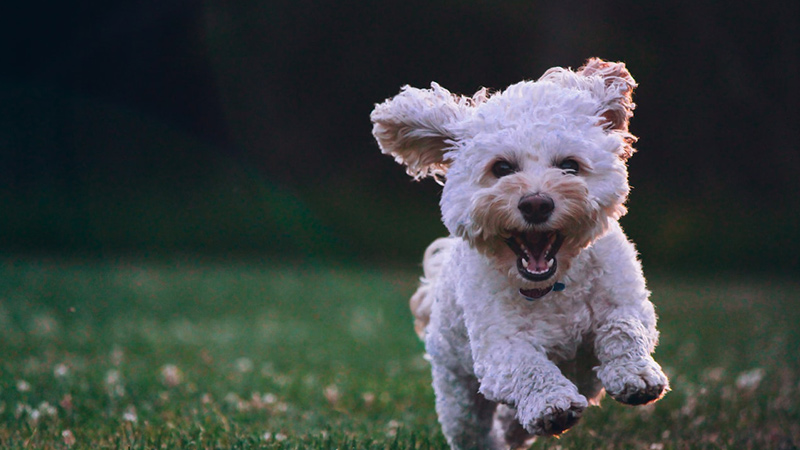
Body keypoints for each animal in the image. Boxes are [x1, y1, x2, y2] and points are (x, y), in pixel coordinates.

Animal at [374, 58, 668, 448]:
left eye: (570, 165)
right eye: (501, 168)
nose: (536, 204)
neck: (553, 286)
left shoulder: (626, 301)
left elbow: (624, 328)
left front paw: (636, 375)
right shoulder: (498, 347)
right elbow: (528, 367)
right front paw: (552, 404)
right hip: (457, 389)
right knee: (472, 428)